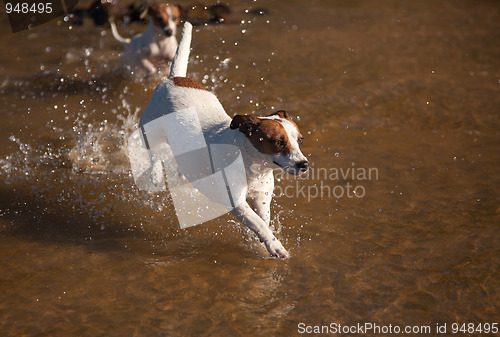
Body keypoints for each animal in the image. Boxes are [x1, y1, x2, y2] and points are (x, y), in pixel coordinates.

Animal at [139, 21, 306, 258]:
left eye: (299, 140)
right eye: (278, 142)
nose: (304, 164)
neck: (250, 162)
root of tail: (174, 78)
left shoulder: (261, 198)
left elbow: (263, 220)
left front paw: (261, 241)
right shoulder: (236, 202)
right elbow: (259, 223)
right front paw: (275, 246)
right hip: (149, 130)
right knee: (153, 152)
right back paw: (155, 174)